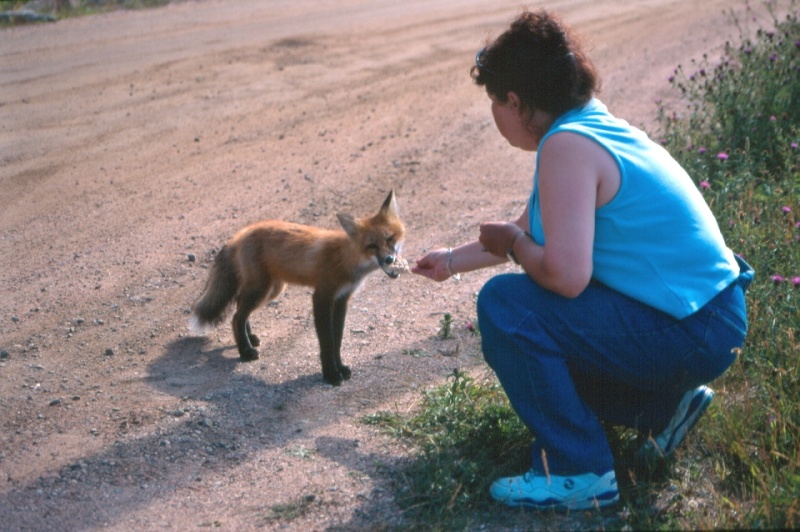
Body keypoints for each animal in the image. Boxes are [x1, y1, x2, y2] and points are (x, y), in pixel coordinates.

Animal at [189, 191, 406, 386]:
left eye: (390, 238)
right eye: (372, 246)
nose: (390, 260)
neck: (346, 259)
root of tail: (240, 234)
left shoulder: (341, 299)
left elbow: (337, 341)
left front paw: (340, 367)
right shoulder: (322, 297)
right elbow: (327, 342)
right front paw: (330, 374)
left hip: (271, 290)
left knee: (239, 309)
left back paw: (249, 339)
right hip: (261, 290)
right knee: (236, 317)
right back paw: (245, 351)